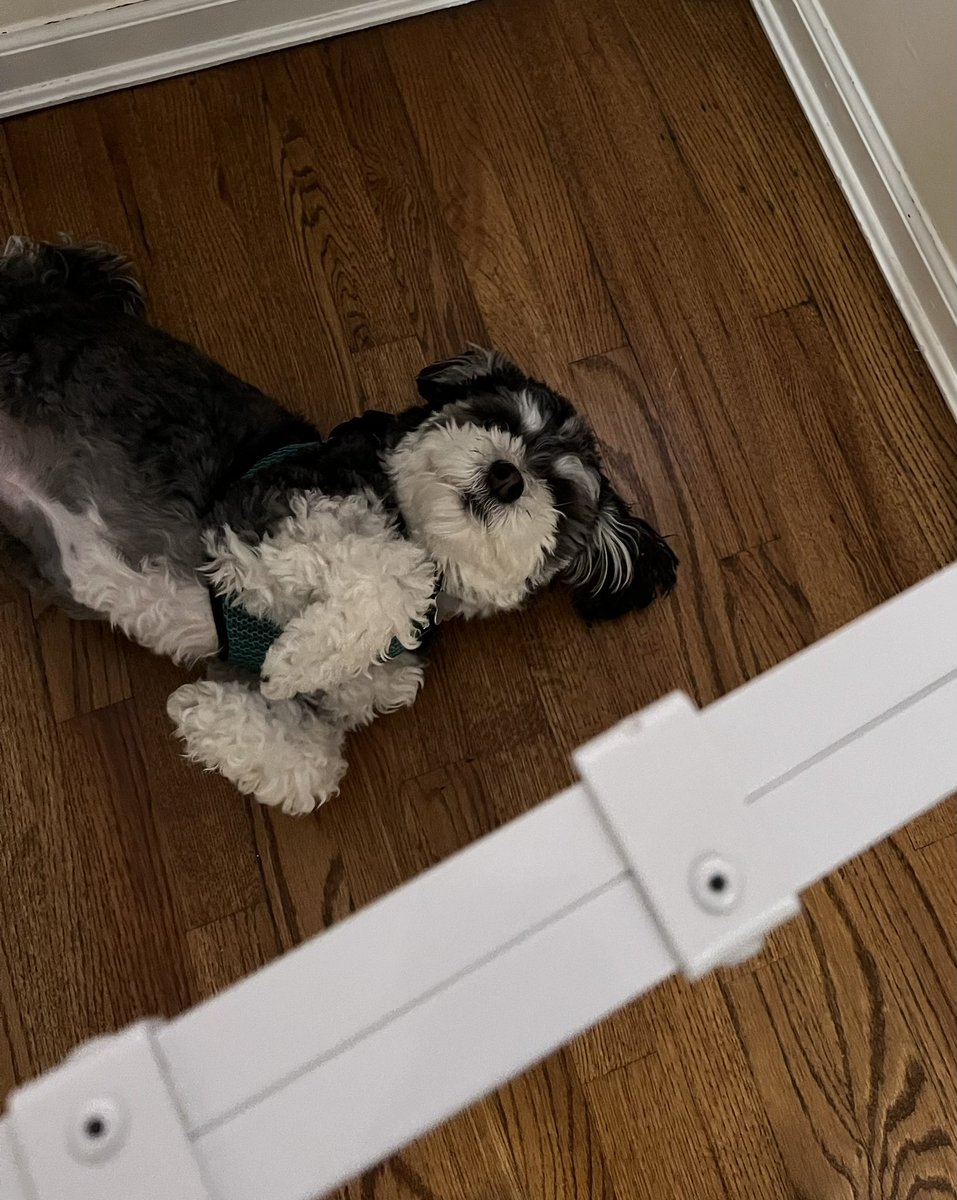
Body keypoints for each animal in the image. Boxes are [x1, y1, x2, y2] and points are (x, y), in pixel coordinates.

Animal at [0, 237, 681, 811]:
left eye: (560, 491)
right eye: (496, 417)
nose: (507, 476)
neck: (412, 523)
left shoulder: (347, 690)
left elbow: (315, 764)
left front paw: (208, 709)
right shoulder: (265, 520)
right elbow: (390, 574)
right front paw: (295, 659)